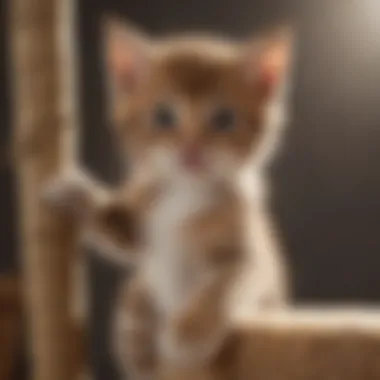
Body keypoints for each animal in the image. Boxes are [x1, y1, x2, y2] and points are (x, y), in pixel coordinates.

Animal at [43, 19, 294, 380]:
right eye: (163, 116)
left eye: (224, 118)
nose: (191, 150)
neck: (185, 192)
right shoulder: (144, 212)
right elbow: (119, 230)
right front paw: (78, 195)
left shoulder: (253, 256)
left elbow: (223, 286)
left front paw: (189, 334)